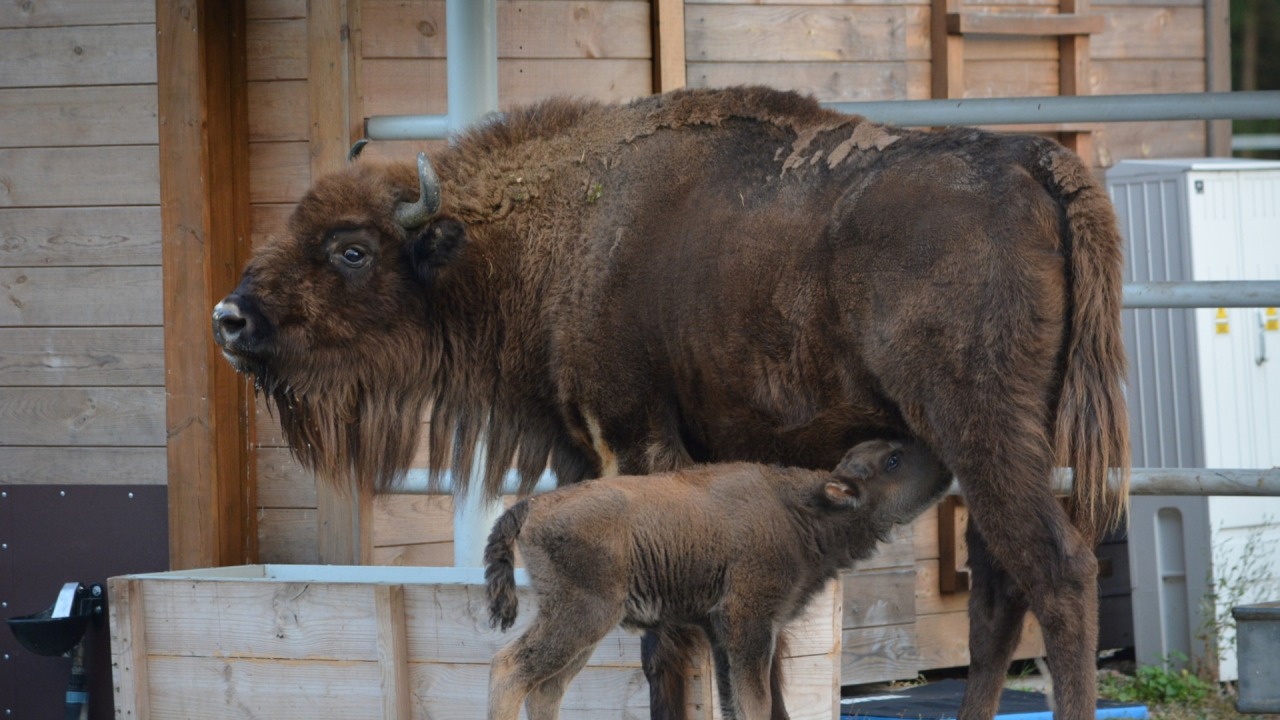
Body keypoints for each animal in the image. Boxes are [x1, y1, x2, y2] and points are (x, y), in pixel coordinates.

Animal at [481, 438, 952, 717]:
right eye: (892, 460)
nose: (942, 459)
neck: (800, 510)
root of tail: (532, 506)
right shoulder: (750, 625)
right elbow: (757, 702)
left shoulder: (721, 633)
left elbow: (737, 702)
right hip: (580, 618)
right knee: (511, 669)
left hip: (581, 631)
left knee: (547, 687)